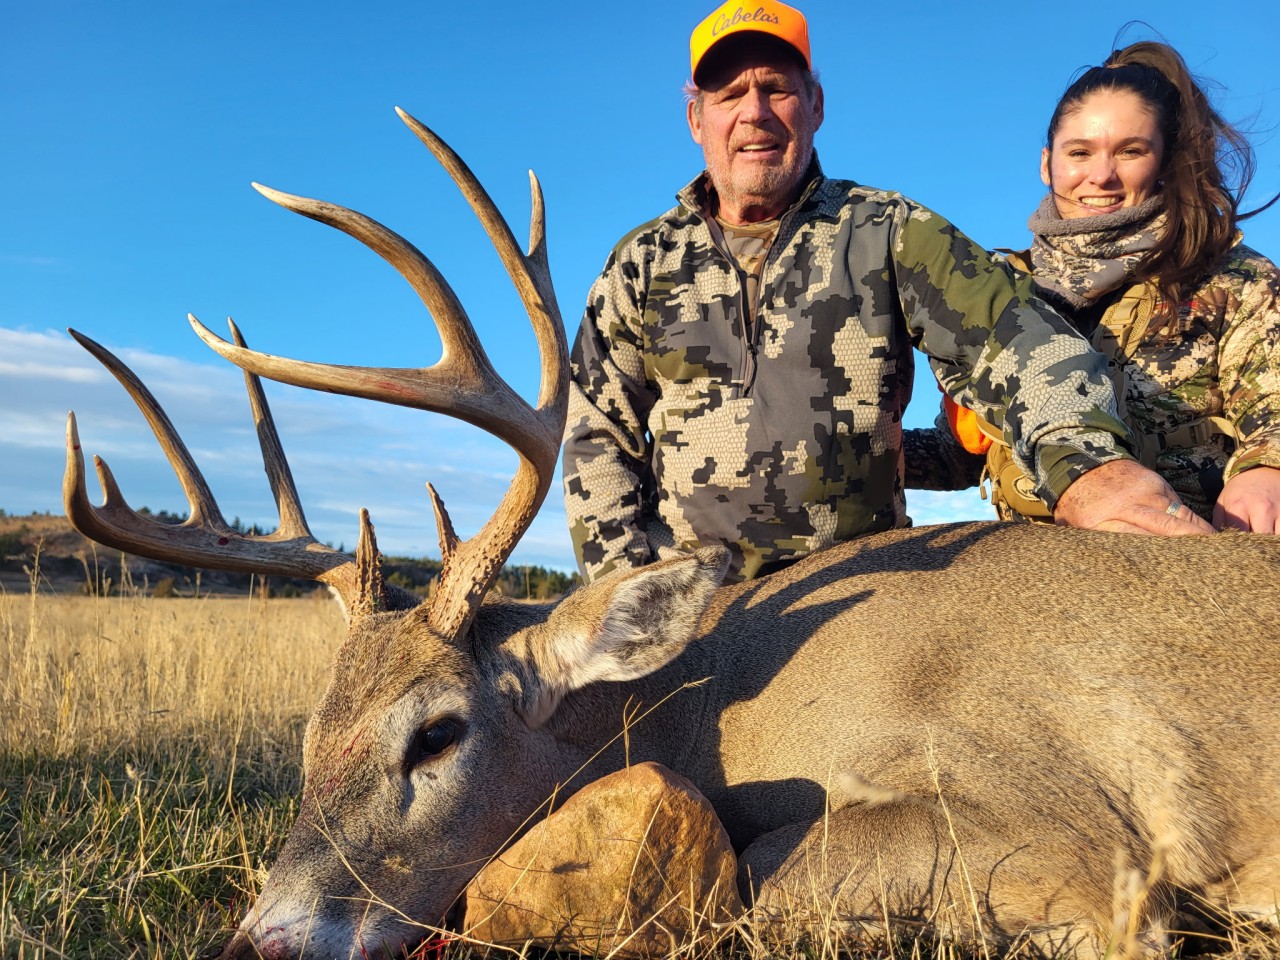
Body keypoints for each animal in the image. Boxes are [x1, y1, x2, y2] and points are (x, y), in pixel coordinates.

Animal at [64, 109, 1280, 960]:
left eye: (435, 733)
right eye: (311, 732)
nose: (261, 942)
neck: (705, 710)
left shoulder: (1079, 835)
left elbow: (767, 876)